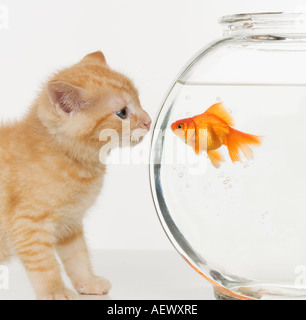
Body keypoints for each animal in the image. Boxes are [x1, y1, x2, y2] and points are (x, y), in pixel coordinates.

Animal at [0, 51, 152, 298]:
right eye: (122, 113)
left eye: (139, 101)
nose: (149, 121)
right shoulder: (29, 224)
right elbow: (44, 264)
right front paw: (55, 290)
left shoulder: (70, 223)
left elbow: (78, 256)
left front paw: (87, 282)